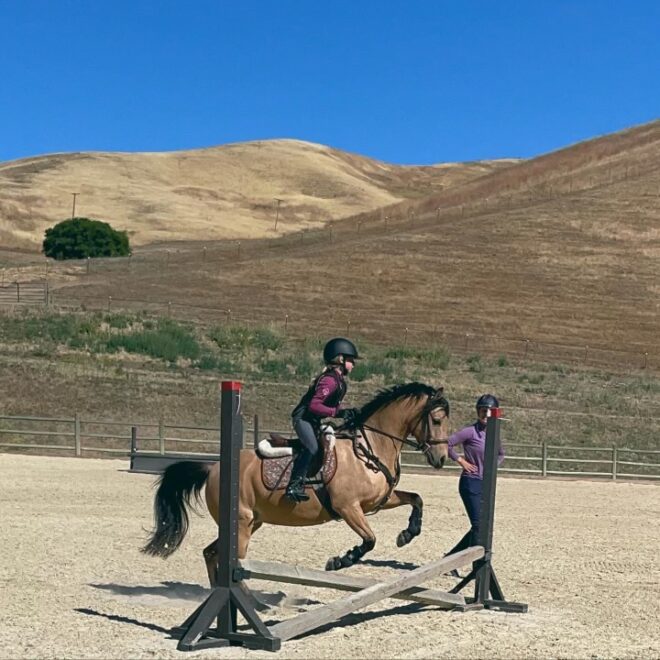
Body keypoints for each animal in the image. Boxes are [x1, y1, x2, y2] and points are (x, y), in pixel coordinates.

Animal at [142, 382, 452, 584]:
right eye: (437, 420)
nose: (441, 458)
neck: (371, 445)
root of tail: (214, 467)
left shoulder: (378, 501)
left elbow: (416, 499)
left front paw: (407, 534)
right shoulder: (348, 507)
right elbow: (369, 540)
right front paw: (340, 560)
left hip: (252, 522)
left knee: (211, 553)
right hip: (241, 525)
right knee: (232, 561)